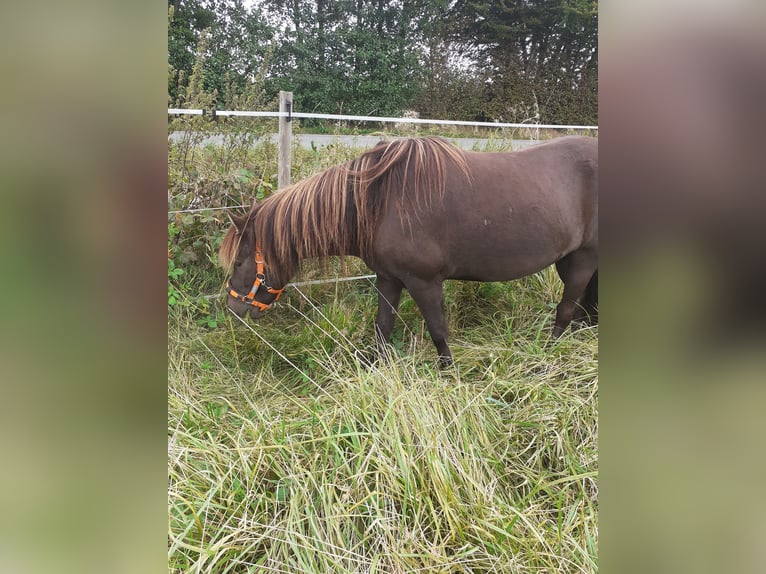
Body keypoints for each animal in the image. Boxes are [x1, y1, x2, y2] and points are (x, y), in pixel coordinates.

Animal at [220, 137, 600, 366]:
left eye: (238, 261)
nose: (233, 308)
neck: (380, 201)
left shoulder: (424, 282)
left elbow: (438, 330)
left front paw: (448, 372)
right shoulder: (388, 279)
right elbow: (382, 326)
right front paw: (375, 368)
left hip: (583, 259)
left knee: (567, 309)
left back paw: (548, 354)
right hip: (571, 261)